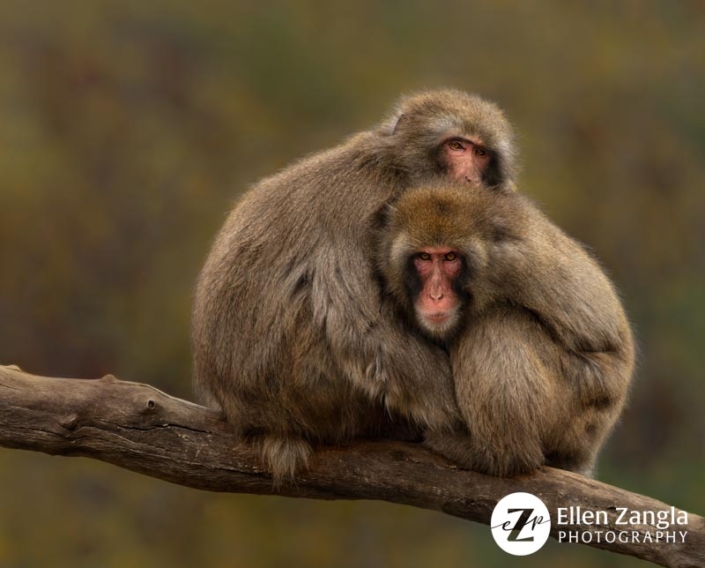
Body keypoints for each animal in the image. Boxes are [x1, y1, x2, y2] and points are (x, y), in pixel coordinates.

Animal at [192, 89, 516, 480]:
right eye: (457, 146)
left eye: (480, 153)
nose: (469, 179)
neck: (394, 168)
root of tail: (244, 414)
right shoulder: (364, 210)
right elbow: (364, 330)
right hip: (310, 389)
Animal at [376, 184, 636, 478]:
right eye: (424, 257)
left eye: (450, 257)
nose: (436, 294)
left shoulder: (518, 263)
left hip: (578, 409)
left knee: (495, 323)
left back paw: (499, 456)